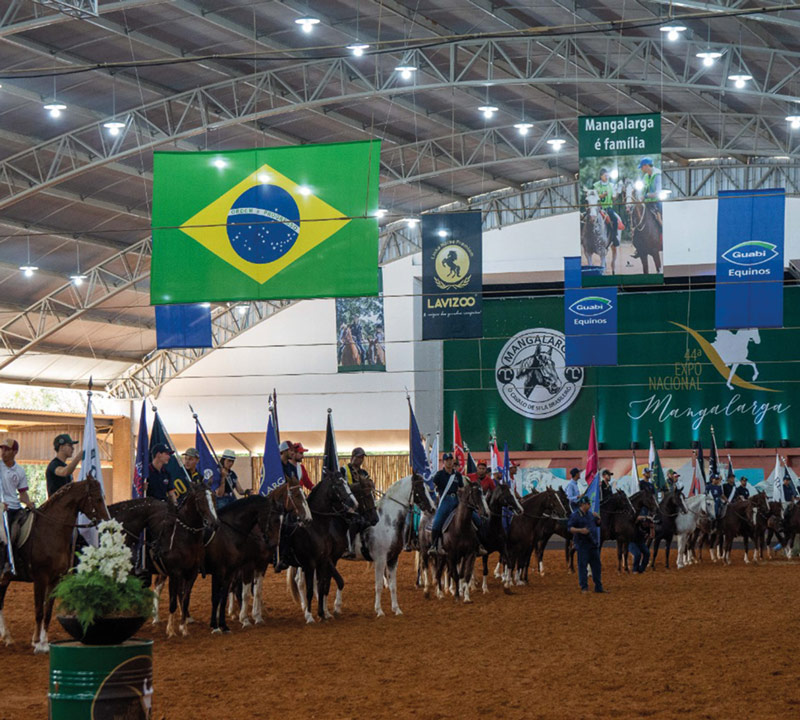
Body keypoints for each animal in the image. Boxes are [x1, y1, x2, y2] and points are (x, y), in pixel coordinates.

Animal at [0, 478, 108, 652]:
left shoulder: (55, 579)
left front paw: (44, 643)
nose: (106, 521)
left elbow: (48, 611)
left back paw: (7, 637)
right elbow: (39, 610)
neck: (51, 531)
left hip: (5, 578)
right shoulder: (40, 578)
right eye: (98, 498)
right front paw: (37, 643)